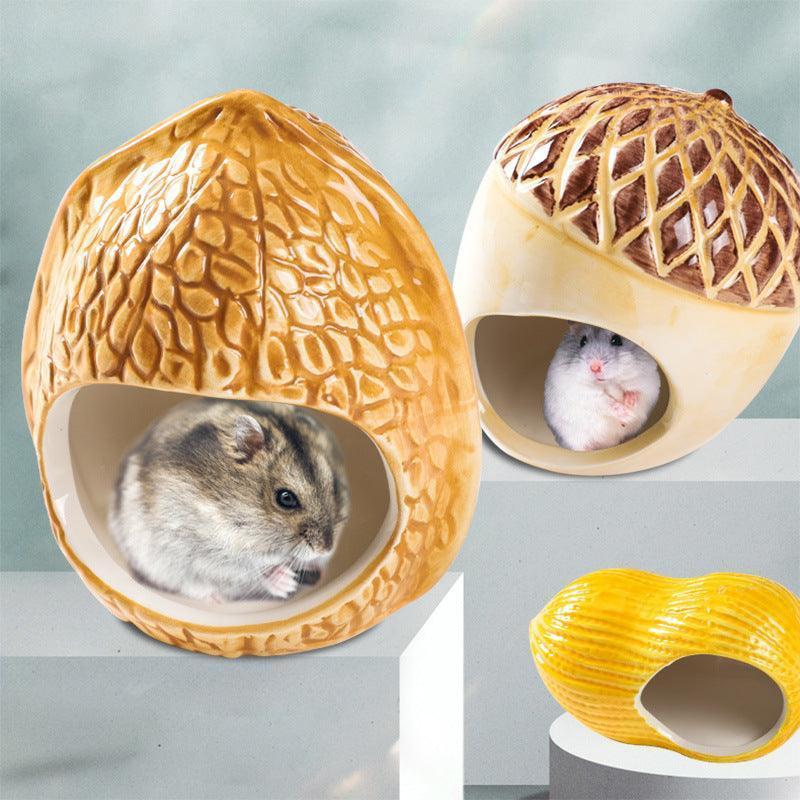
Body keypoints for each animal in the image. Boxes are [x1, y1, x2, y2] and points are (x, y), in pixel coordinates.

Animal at [108, 399, 350, 602]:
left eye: (334, 486)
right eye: (286, 498)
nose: (325, 549)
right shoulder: (202, 549)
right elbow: (249, 570)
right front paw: (287, 582)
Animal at [543, 324, 661, 452]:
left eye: (616, 340)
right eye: (582, 341)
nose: (595, 367)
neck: (608, 382)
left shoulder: (648, 384)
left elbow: (637, 393)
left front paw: (630, 404)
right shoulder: (583, 394)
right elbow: (605, 403)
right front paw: (626, 415)